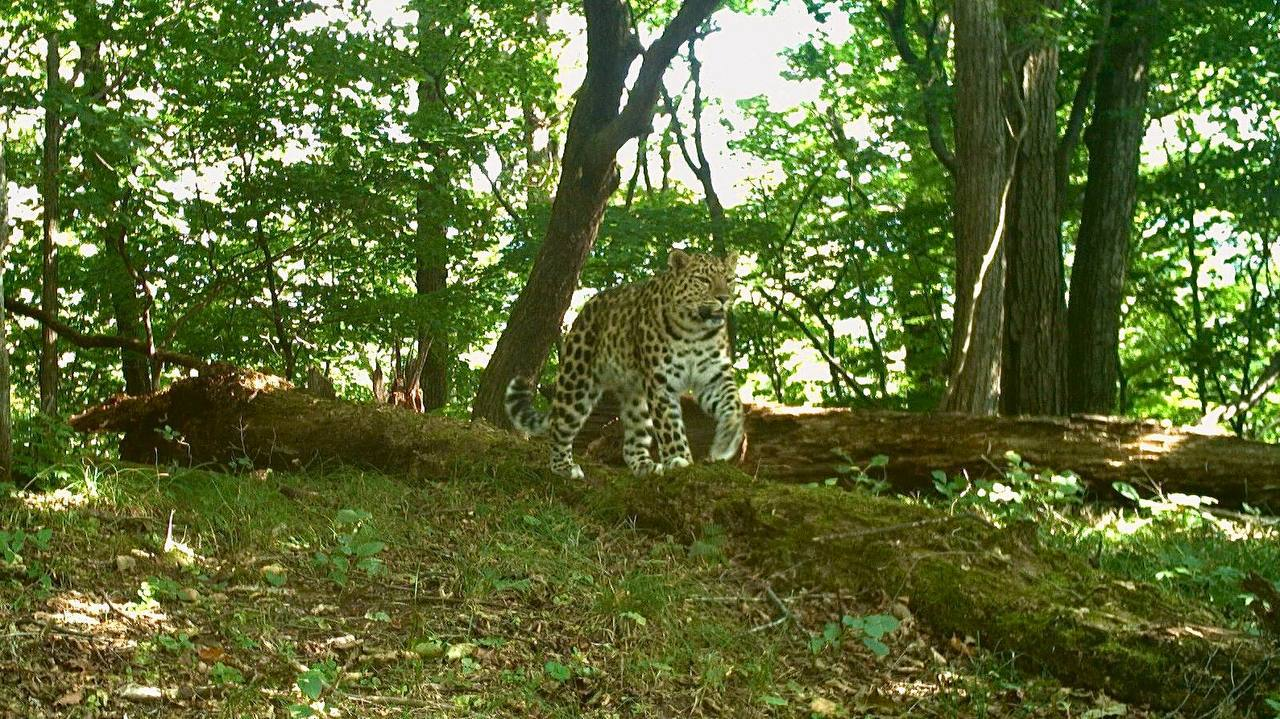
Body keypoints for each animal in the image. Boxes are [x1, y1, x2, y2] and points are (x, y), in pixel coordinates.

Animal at [504, 249, 747, 478]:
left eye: (729, 279)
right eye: (703, 280)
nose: (723, 298)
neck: (695, 330)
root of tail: (585, 309)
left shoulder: (714, 377)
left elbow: (734, 405)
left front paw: (727, 441)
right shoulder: (661, 383)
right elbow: (670, 426)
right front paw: (679, 459)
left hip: (635, 395)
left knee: (632, 441)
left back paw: (645, 465)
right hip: (577, 382)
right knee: (559, 425)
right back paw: (563, 467)